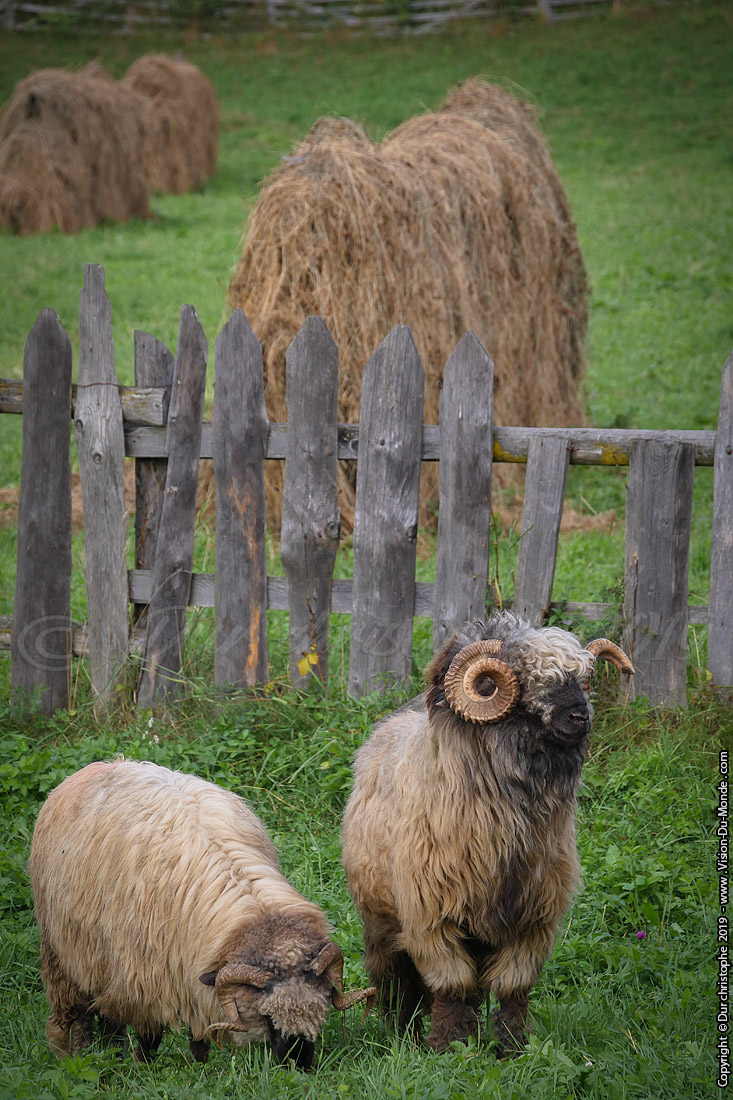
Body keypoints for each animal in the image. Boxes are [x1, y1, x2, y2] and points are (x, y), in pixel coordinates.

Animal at [29, 759, 375, 1069]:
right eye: (268, 1017)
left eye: (322, 1009)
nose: (299, 1067)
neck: (253, 910)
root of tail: (96, 766)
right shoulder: (142, 977)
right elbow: (149, 1036)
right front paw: (145, 1069)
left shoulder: (189, 974)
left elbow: (198, 1037)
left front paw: (199, 1068)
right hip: (62, 952)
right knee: (75, 1014)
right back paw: (77, 1055)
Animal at [341, 611, 633, 1057]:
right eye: (525, 680)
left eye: (583, 678)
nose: (580, 717)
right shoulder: (430, 918)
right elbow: (451, 985)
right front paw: (446, 1047)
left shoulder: (534, 917)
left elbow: (513, 988)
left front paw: (512, 1048)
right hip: (381, 922)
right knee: (396, 983)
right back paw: (402, 1037)